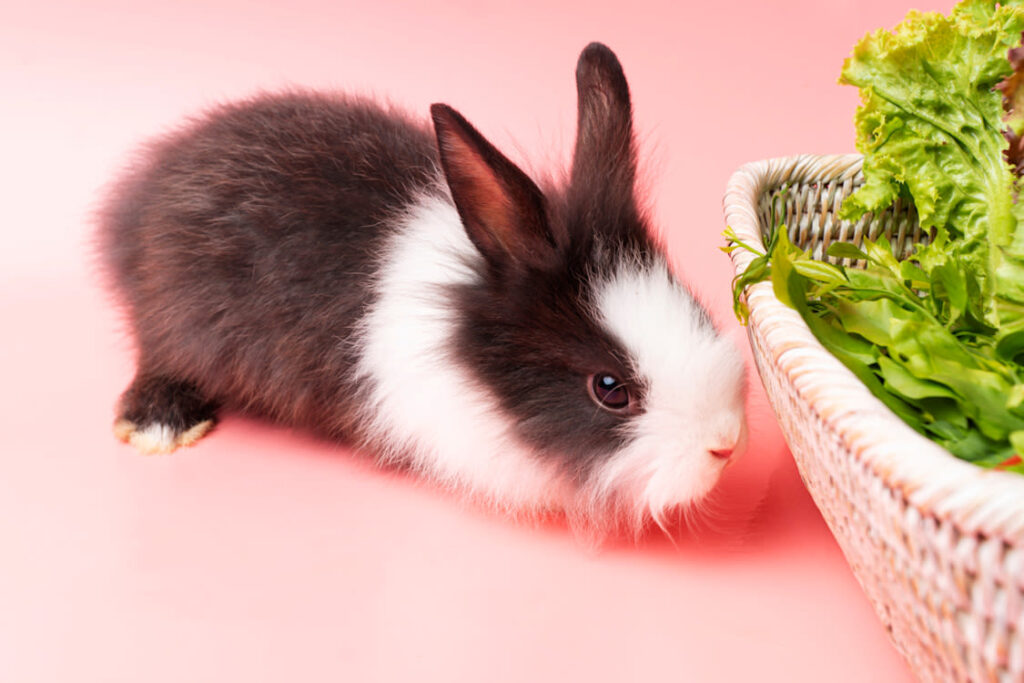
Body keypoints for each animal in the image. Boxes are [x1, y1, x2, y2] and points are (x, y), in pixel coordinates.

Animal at [99, 42, 747, 535]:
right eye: (610, 390)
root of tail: (142, 194)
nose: (725, 445)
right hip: (177, 319)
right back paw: (160, 426)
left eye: (699, 311)